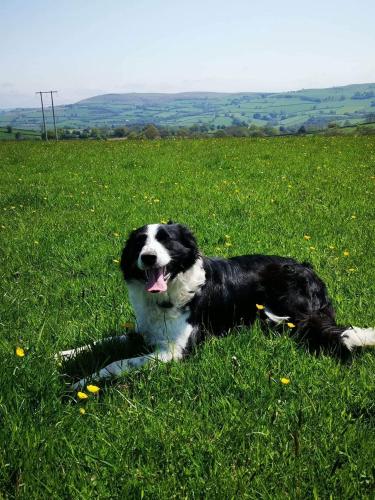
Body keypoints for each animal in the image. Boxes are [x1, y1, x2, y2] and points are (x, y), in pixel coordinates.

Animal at [61, 221, 375, 388]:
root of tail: (309, 270)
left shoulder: (175, 351)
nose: (148, 257)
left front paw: (82, 382)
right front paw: (62, 355)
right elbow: (101, 342)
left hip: (285, 312)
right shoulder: (144, 330)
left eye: (166, 241)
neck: (172, 290)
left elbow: (119, 362)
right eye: (139, 243)